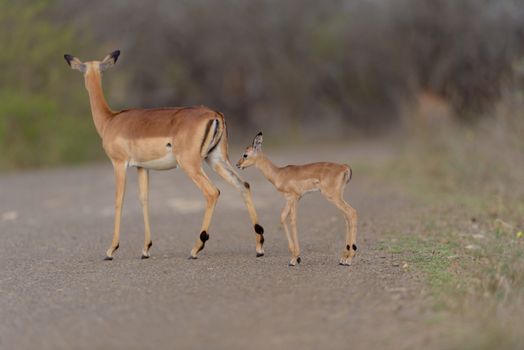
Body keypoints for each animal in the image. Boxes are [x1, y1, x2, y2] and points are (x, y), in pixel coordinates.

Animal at [63, 51, 264, 260]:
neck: (110, 120)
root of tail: (215, 115)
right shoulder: (142, 167)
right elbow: (144, 200)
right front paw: (145, 249)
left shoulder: (119, 164)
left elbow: (119, 200)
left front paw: (111, 250)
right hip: (216, 159)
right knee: (243, 185)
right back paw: (259, 246)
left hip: (190, 164)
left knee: (212, 192)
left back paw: (196, 248)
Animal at [236, 133, 356, 266]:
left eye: (245, 154)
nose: (237, 165)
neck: (279, 174)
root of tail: (344, 167)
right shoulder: (292, 199)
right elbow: (283, 217)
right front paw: (296, 256)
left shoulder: (294, 197)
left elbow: (292, 221)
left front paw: (294, 259)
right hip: (338, 196)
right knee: (347, 217)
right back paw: (343, 258)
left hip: (332, 196)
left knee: (352, 212)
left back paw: (349, 259)